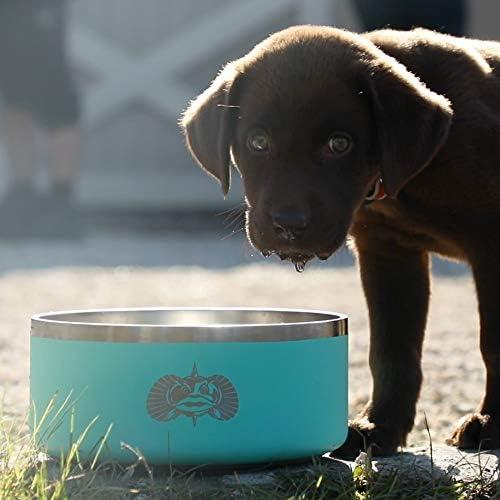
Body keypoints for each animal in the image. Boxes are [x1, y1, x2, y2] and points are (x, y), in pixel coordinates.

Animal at [182, 26, 500, 458]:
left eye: (339, 144)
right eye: (257, 142)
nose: (288, 226)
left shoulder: (491, 245)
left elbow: (493, 343)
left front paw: (493, 425)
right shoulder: (388, 253)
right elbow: (391, 351)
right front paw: (379, 427)